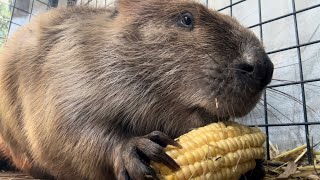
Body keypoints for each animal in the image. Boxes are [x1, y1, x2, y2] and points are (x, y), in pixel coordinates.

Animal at [0, 0, 272, 179]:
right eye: (186, 18)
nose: (265, 68)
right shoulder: (64, 67)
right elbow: (61, 129)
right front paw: (139, 149)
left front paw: (256, 166)